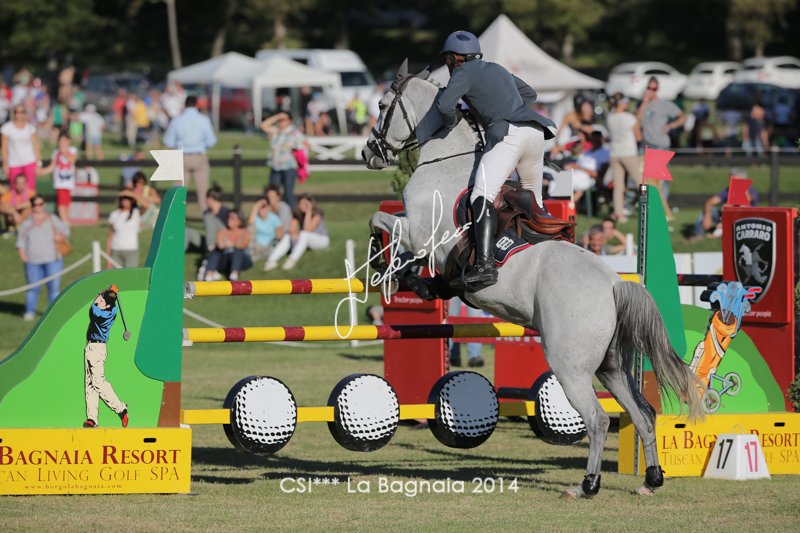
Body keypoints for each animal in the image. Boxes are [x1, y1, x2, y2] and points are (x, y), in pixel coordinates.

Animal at [361, 61, 703, 498]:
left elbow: (382, 221)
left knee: (597, 419)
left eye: (382, 105)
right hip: (610, 366)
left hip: (569, 364)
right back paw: (651, 479)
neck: (445, 162)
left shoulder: (422, 233)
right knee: (642, 413)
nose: (369, 152)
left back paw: (587, 485)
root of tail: (615, 284)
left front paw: (386, 267)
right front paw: (418, 282)